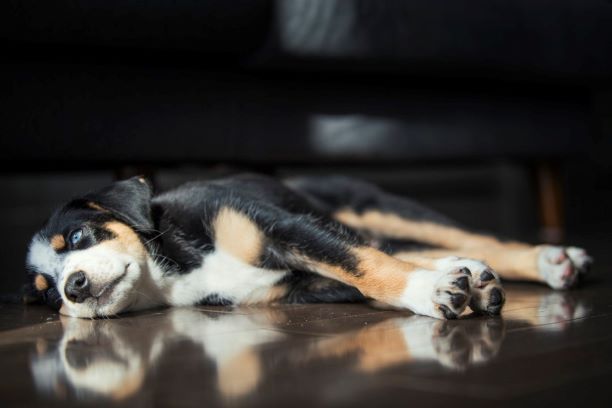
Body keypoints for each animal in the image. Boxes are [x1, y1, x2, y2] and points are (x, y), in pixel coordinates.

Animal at [25, 174, 592, 320]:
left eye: (78, 236)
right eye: (47, 294)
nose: (74, 288)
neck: (176, 269)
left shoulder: (286, 226)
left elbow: (362, 263)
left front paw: (429, 291)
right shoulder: (302, 287)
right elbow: (363, 270)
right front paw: (446, 285)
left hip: (374, 203)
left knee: (470, 236)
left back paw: (553, 260)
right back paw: (470, 271)